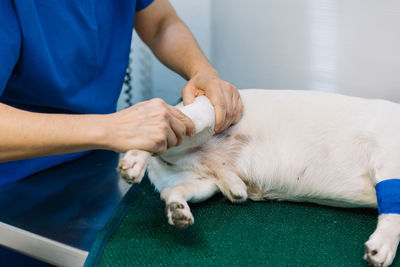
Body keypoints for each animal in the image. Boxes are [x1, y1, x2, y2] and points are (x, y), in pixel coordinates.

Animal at [117, 90, 400, 267]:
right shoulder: (388, 163)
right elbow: (394, 217)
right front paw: (383, 246)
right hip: (200, 119)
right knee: (156, 135)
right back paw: (135, 162)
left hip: (203, 184)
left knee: (170, 192)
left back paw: (179, 210)